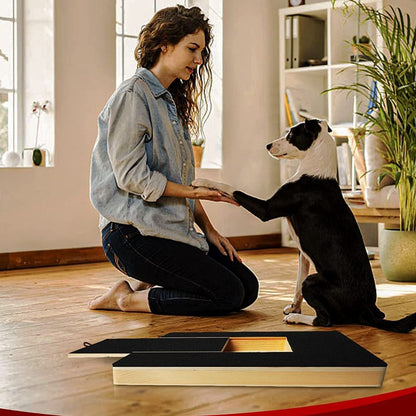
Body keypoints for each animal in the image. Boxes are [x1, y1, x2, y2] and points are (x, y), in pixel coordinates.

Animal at [193, 118, 416, 334]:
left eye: (291, 134)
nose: (267, 145)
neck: (314, 169)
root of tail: (365, 310)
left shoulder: (266, 209)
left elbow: (233, 189)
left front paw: (202, 181)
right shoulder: (303, 254)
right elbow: (297, 284)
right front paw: (294, 306)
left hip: (314, 282)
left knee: (325, 320)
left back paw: (295, 319)